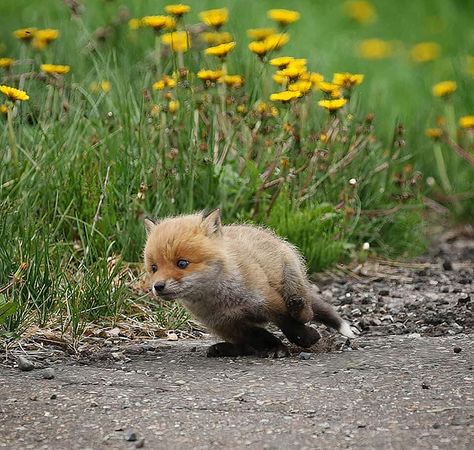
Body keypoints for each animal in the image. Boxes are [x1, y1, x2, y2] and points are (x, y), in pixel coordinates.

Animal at [144, 209, 356, 356]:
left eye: (182, 263)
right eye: (154, 268)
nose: (158, 287)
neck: (222, 300)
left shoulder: (269, 301)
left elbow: (289, 324)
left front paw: (305, 338)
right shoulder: (226, 323)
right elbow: (260, 336)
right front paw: (276, 347)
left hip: (292, 281)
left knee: (306, 311)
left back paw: (299, 308)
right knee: (244, 345)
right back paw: (227, 349)